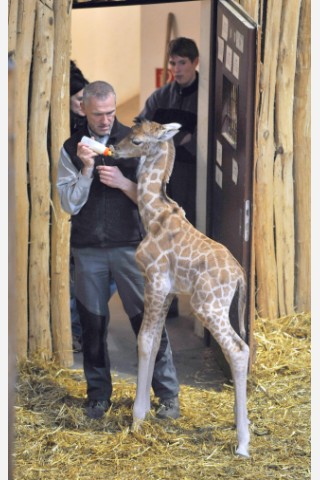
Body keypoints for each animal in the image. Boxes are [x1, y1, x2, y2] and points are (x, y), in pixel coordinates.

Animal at [111, 119, 251, 458]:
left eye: (136, 140)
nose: (114, 149)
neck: (153, 215)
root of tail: (239, 274)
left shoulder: (155, 281)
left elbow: (145, 340)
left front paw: (137, 420)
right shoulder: (168, 291)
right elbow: (156, 342)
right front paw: (147, 412)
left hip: (208, 306)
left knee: (239, 349)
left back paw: (243, 443)